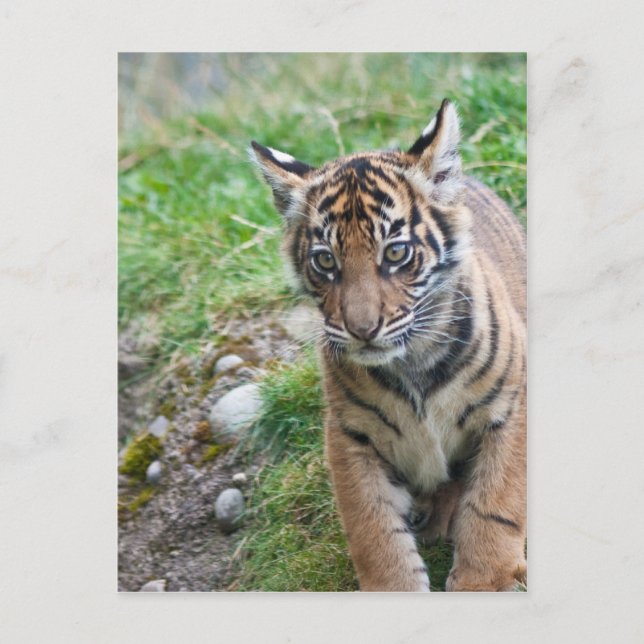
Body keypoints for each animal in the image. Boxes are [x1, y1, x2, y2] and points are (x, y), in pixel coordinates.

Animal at [250, 99, 526, 592]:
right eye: (326, 261)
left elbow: (496, 503)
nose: (362, 329)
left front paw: (485, 581)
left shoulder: (512, 404)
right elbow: (373, 529)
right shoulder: (351, 433)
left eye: (396, 253)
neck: (412, 361)